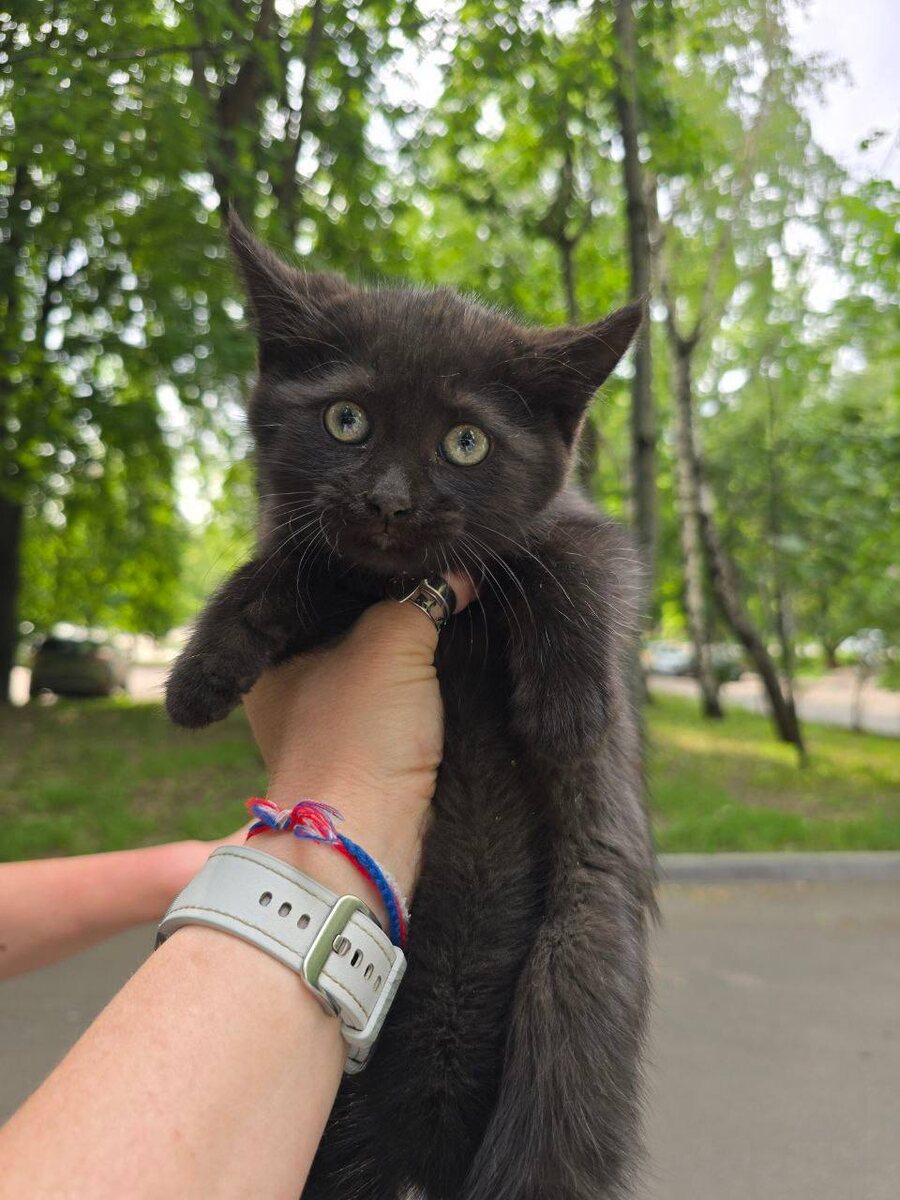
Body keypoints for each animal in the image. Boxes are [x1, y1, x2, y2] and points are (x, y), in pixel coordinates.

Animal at [166, 214, 655, 1200]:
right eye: (346, 421)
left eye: (465, 443)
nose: (389, 502)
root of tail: (421, 1155)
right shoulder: (336, 572)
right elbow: (294, 566)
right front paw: (205, 666)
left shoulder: (576, 526)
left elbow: (577, 559)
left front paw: (571, 707)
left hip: (574, 977)